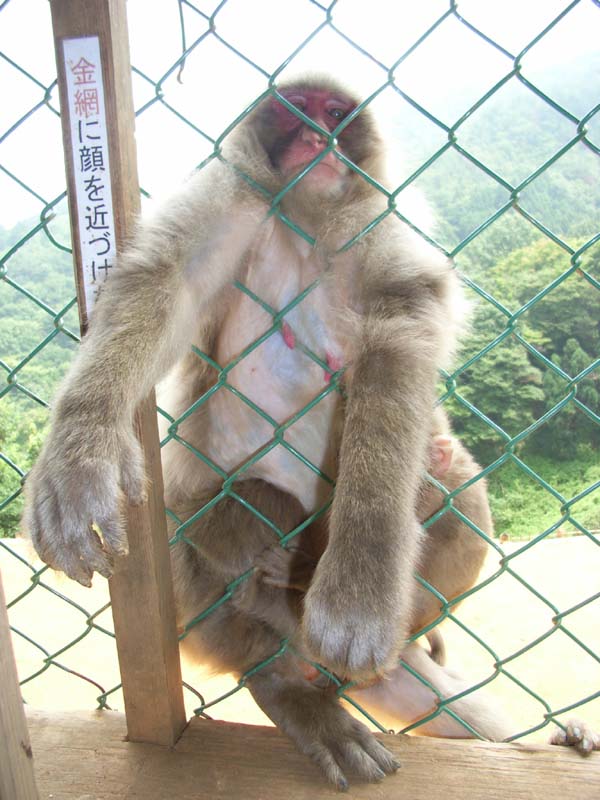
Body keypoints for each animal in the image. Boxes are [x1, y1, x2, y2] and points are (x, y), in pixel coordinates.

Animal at [21, 75, 598, 788]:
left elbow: (395, 349)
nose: (316, 136)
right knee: (241, 511)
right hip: (203, 588)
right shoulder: (228, 201)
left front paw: (361, 579)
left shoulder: (380, 230)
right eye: (295, 112)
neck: (303, 225)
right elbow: (163, 284)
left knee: (450, 474)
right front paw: (84, 446)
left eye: (334, 112)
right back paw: (282, 676)